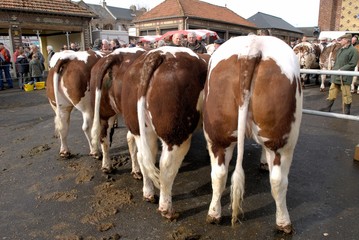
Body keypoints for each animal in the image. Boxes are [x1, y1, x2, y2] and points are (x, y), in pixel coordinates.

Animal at [90, 47, 146, 176]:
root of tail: (116, 56)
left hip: (104, 112)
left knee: (103, 137)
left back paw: (107, 166)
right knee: (131, 139)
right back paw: (137, 170)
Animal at [121, 46, 211, 219]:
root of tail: (158, 54)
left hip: (141, 130)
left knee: (144, 157)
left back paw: (148, 193)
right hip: (176, 134)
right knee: (166, 168)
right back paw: (167, 209)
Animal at [204, 36, 302, 234]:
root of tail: (252, 48)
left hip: (217, 136)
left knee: (218, 174)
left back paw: (214, 214)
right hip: (282, 141)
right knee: (278, 181)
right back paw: (284, 223)